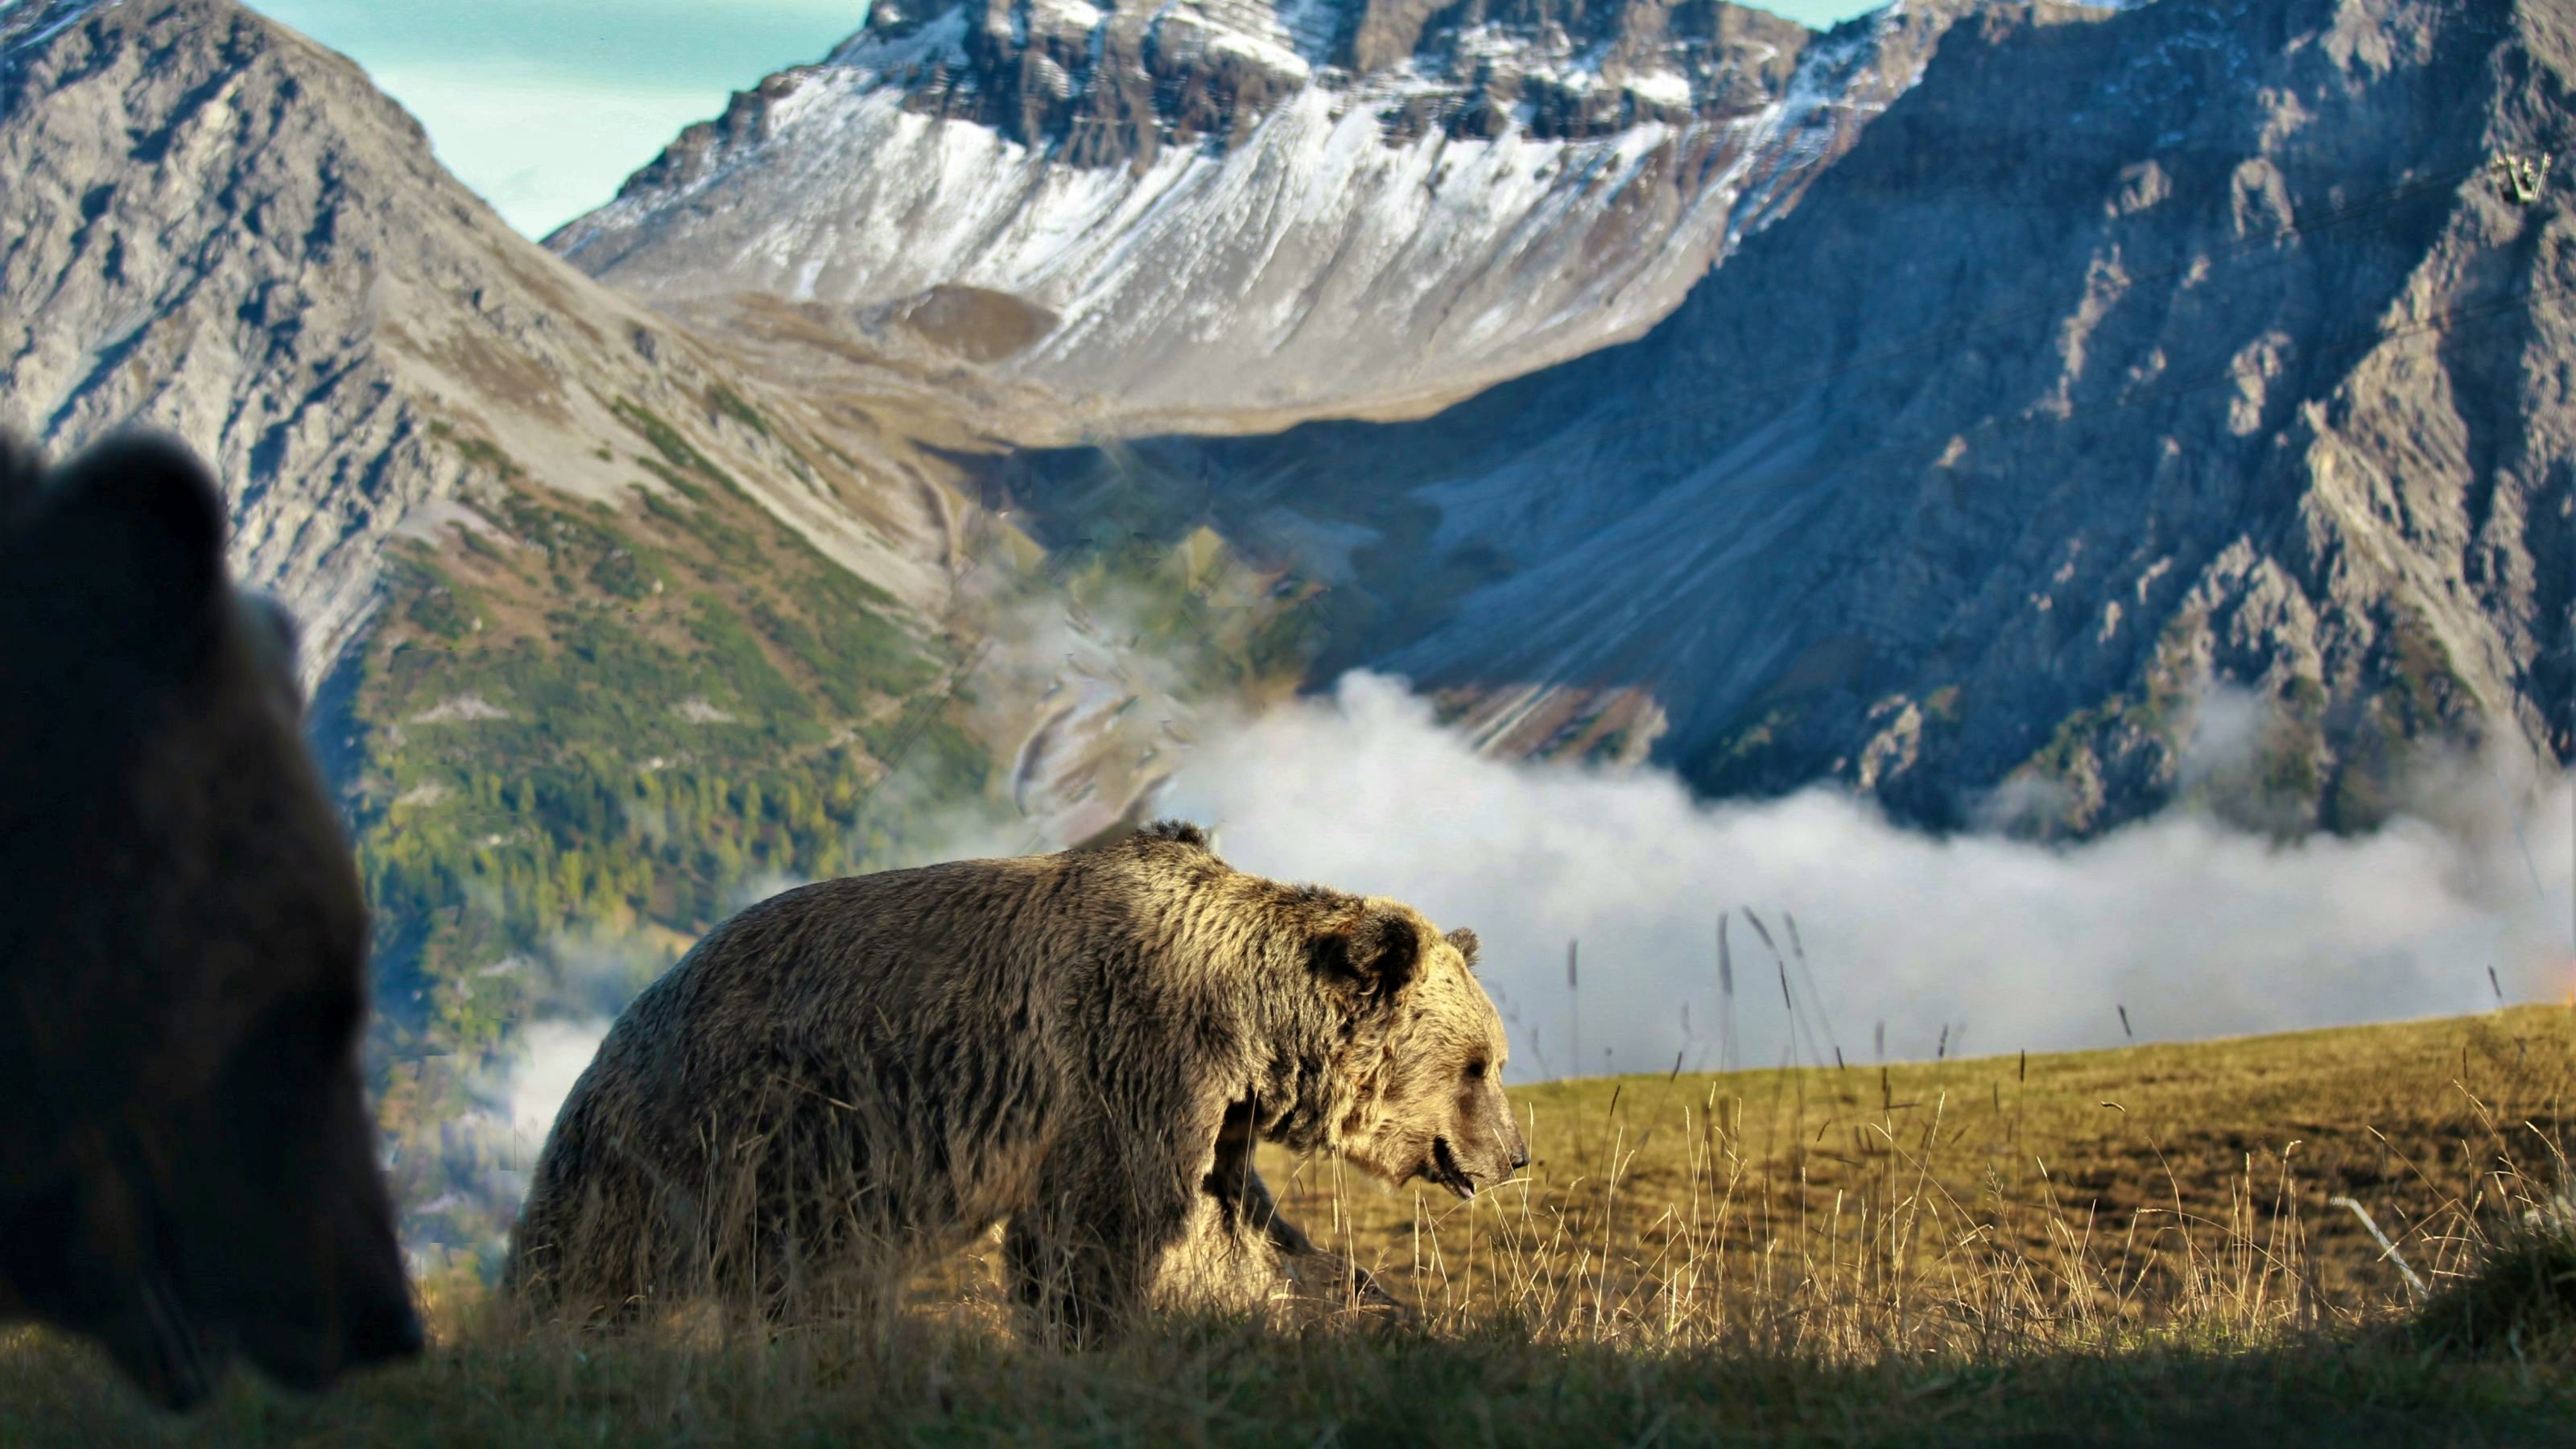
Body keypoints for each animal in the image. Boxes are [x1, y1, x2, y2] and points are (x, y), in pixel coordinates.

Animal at [505, 820, 1526, 1340]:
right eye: (1477, 1064)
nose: (1512, 1155)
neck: (1248, 1030)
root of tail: (621, 1022)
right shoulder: (1128, 1058)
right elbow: (1107, 1233)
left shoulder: (1215, 1124)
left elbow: (1247, 1236)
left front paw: (1359, 1308)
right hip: (720, 1126)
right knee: (610, 1256)